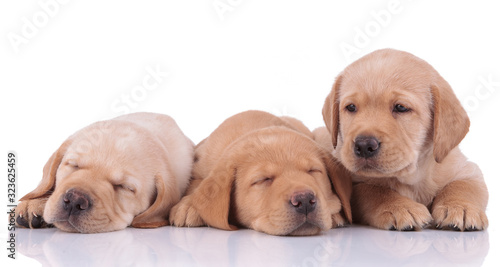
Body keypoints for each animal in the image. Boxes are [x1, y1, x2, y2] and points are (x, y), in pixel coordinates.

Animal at [320, 48, 488, 232]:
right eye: (351, 107)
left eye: (401, 107)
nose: (363, 145)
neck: (412, 176)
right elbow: (372, 190)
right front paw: (400, 207)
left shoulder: (468, 170)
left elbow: (463, 186)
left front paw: (460, 206)